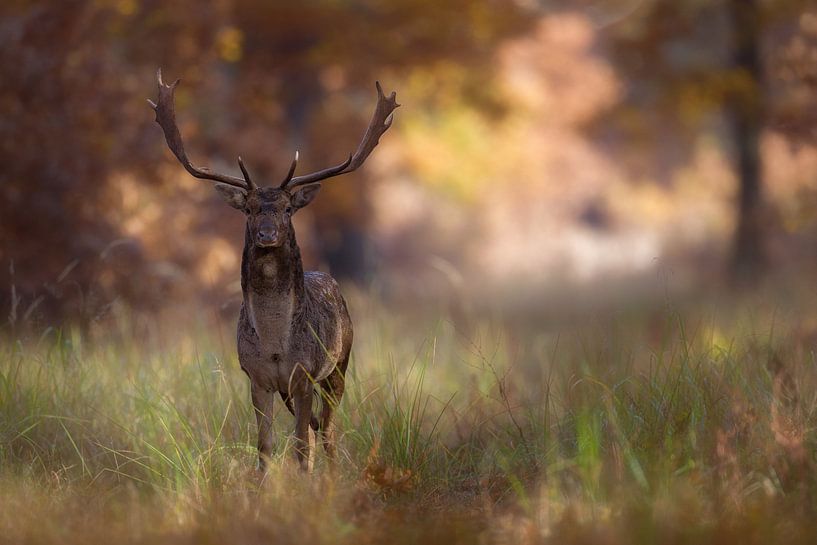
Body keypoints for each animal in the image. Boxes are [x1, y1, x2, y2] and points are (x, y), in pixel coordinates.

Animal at [151, 70, 402, 470]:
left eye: (287, 208)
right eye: (251, 209)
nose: (267, 234)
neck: (274, 345)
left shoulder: (304, 374)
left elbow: (301, 445)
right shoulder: (257, 378)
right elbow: (265, 447)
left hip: (341, 362)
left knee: (327, 429)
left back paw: (332, 472)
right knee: (316, 428)